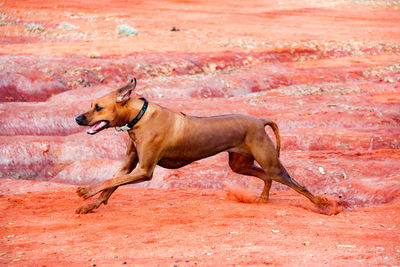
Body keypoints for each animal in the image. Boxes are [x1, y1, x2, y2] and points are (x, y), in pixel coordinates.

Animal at [73, 78, 332, 215]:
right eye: (91, 105)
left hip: (271, 163)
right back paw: (262, 198)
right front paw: (91, 205)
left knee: (299, 185)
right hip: (240, 164)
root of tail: (259, 120)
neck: (139, 116)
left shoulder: (145, 170)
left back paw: (324, 206)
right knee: (266, 177)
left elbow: (108, 182)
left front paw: (85, 192)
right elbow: (111, 184)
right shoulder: (130, 165)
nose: (77, 118)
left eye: (98, 107)